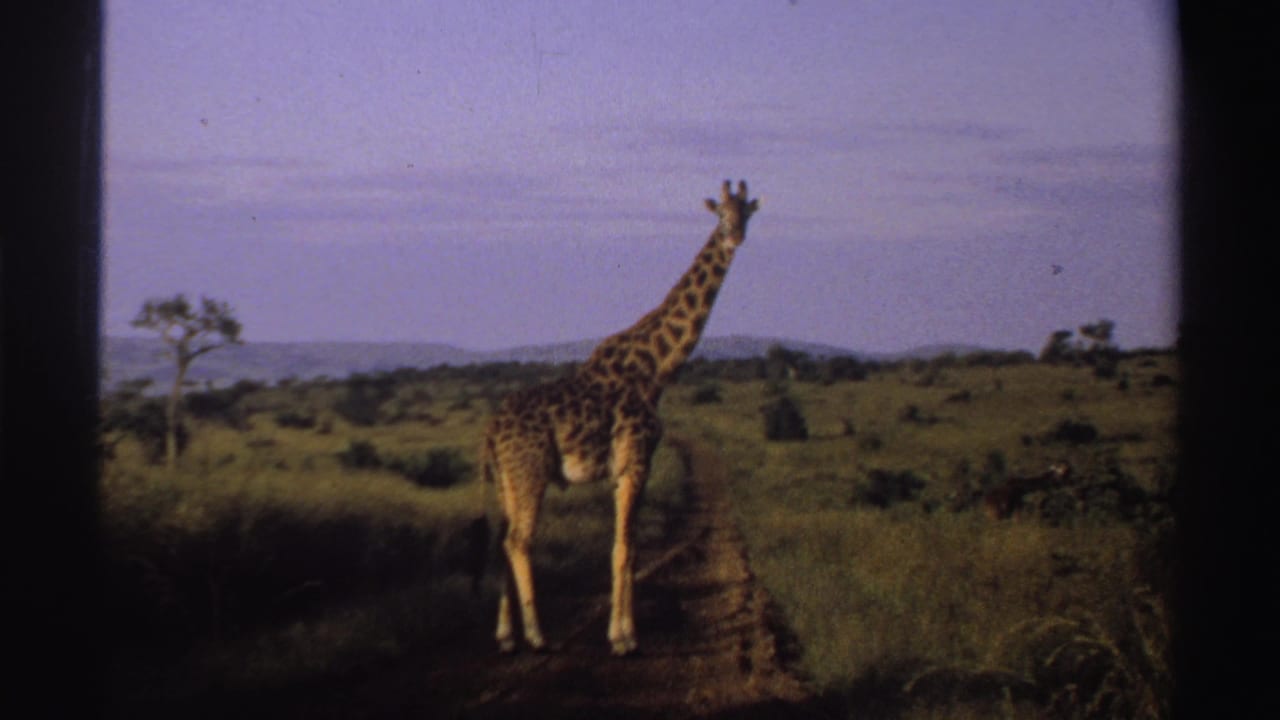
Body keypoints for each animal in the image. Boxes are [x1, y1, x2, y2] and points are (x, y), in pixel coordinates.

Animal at [481, 180, 759, 656]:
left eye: (747, 214)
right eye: (721, 214)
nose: (735, 237)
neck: (657, 369)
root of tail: (490, 430)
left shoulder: (625, 469)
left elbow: (630, 547)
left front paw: (625, 631)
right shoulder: (635, 460)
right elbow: (624, 548)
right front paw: (624, 638)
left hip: (506, 479)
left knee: (501, 540)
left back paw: (505, 636)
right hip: (530, 472)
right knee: (518, 541)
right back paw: (537, 635)